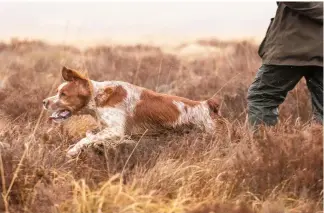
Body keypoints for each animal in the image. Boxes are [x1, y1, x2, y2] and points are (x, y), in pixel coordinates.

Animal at [43, 67, 219, 158]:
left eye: (63, 94)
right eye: (58, 92)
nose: (44, 102)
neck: (100, 98)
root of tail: (205, 105)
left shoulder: (115, 129)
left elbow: (86, 139)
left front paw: (73, 150)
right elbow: (91, 137)